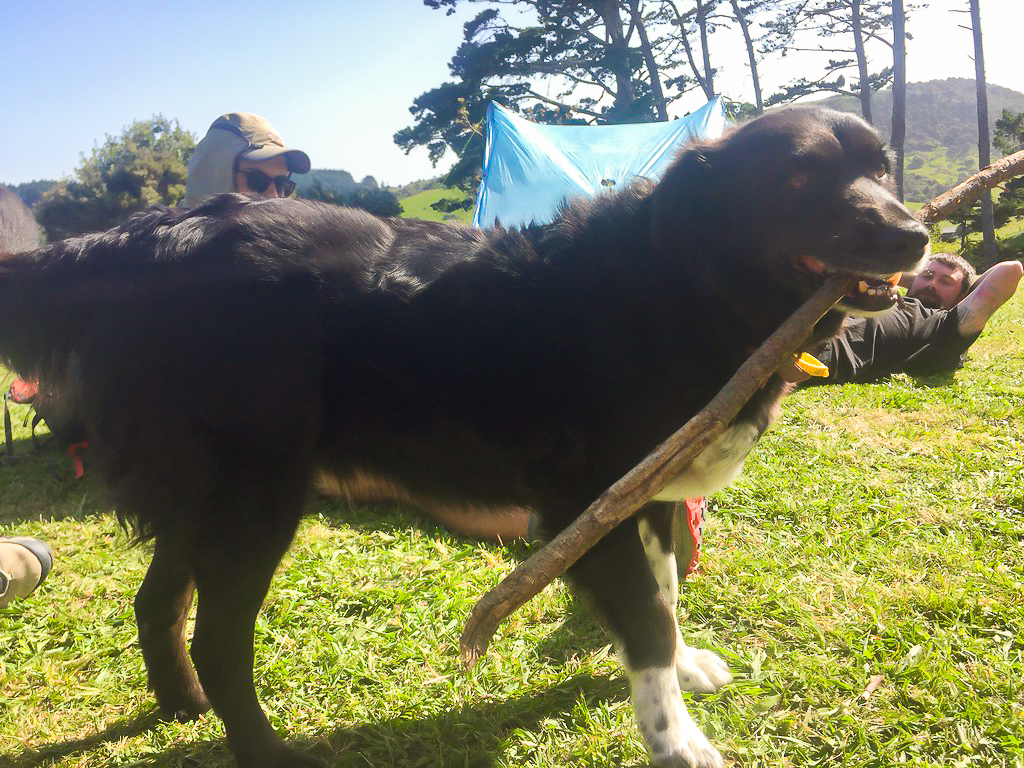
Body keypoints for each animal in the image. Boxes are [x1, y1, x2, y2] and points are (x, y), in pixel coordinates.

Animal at [0, 109, 929, 768]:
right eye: (800, 177)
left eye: (880, 169)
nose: (915, 234)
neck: (677, 279)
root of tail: (149, 233)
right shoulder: (587, 506)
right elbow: (645, 621)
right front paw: (679, 741)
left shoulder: (651, 497)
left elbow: (664, 602)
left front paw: (685, 665)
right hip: (256, 501)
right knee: (219, 640)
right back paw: (265, 751)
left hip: (204, 499)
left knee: (156, 603)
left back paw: (181, 706)